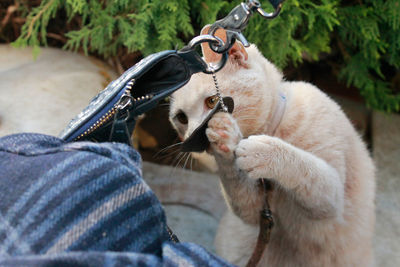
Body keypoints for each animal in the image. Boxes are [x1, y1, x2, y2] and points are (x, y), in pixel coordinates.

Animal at [168, 28, 376, 266]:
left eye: (212, 102)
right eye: (181, 118)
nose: (192, 136)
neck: (274, 128)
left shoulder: (332, 197)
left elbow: (307, 168)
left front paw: (261, 151)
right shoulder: (256, 210)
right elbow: (236, 184)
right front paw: (225, 141)